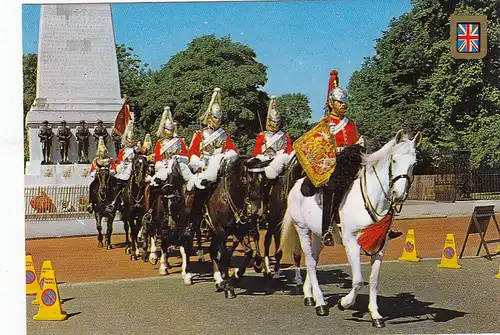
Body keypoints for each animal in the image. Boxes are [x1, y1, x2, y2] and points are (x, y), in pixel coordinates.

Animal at [280, 131, 420, 328]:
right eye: (393, 159)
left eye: (414, 163)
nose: (399, 195)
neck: (371, 198)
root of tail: (297, 184)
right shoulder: (351, 241)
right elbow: (358, 280)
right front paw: (344, 303)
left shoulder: (380, 245)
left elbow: (374, 280)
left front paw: (376, 315)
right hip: (302, 229)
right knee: (309, 261)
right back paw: (320, 303)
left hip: (319, 236)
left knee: (313, 260)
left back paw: (310, 296)